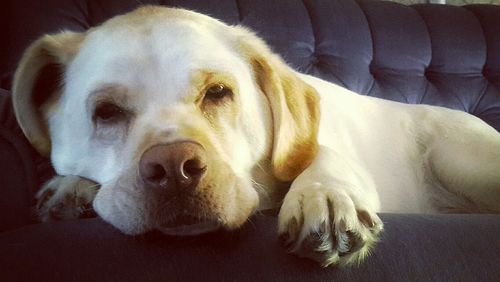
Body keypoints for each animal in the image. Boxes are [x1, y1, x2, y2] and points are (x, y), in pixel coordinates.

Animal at [11, 6, 500, 266]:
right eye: (107, 112)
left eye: (218, 92)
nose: (174, 168)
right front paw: (71, 187)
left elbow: (320, 153)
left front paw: (324, 195)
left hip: (460, 159)